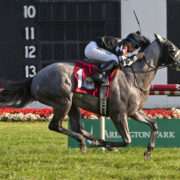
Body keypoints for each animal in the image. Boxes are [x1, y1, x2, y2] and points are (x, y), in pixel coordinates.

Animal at [0, 33, 180, 159]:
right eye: (172, 49)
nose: (179, 63)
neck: (134, 77)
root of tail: (36, 77)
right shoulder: (118, 114)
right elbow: (127, 140)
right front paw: (108, 144)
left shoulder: (134, 112)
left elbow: (154, 125)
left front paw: (148, 151)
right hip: (63, 102)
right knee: (55, 126)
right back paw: (89, 142)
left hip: (73, 105)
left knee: (78, 127)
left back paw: (88, 141)